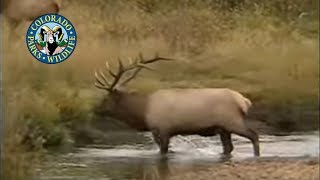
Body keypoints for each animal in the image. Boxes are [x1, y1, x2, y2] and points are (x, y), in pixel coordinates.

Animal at [95, 53, 260, 156]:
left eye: (105, 99)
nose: (96, 109)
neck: (143, 112)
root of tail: (245, 101)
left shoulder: (162, 129)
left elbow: (164, 151)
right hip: (223, 128)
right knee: (228, 147)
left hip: (232, 121)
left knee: (254, 135)